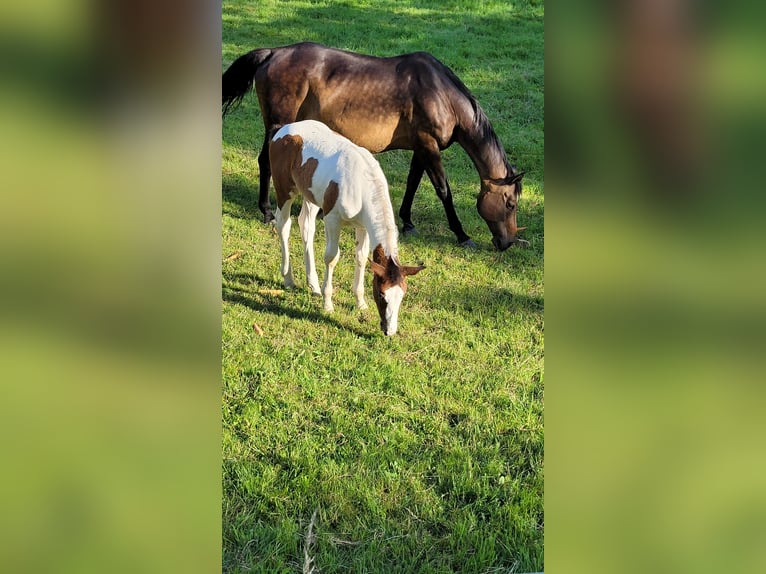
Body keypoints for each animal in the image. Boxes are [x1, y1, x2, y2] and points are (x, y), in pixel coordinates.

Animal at [222, 41, 528, 253]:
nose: (506, 243)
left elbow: (413, 183)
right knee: (265, 161)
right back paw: (266, 210)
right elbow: (443, 190)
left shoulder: (420, 147)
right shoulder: (428, 145)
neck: (442, 95)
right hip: (278, 124)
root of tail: (273, 53)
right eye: (510, 203)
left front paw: (408, 222)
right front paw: (462, 235)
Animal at [270, 121, 426, 338]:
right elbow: (331, 257)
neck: (362, 184)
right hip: (285, 190)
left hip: (311, 196)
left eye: (402, 295)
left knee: (306, 226)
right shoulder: (332, 219)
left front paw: (360, 302)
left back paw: (313, 284)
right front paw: (328, 304)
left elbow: (361, 258)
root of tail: (284, 129)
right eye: (382, 295)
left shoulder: (363, 226)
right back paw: (288, 279)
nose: (389, 331)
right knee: (283, 225)